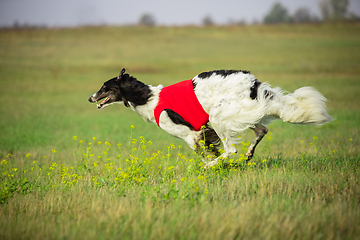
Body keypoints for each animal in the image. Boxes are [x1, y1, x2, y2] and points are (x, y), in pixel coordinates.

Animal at [88, 68, 332, 167]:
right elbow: (209, 148)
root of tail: (254, 84)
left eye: (104, 87)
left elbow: (202, 152)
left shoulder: (191, 135)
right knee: (262, 130)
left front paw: (208, 164)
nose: (90, 98)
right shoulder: (204, 131)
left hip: (219, 113)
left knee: (231, 149)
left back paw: (214, 165)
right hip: (239, 113)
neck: (149, 98)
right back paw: (248, 154)